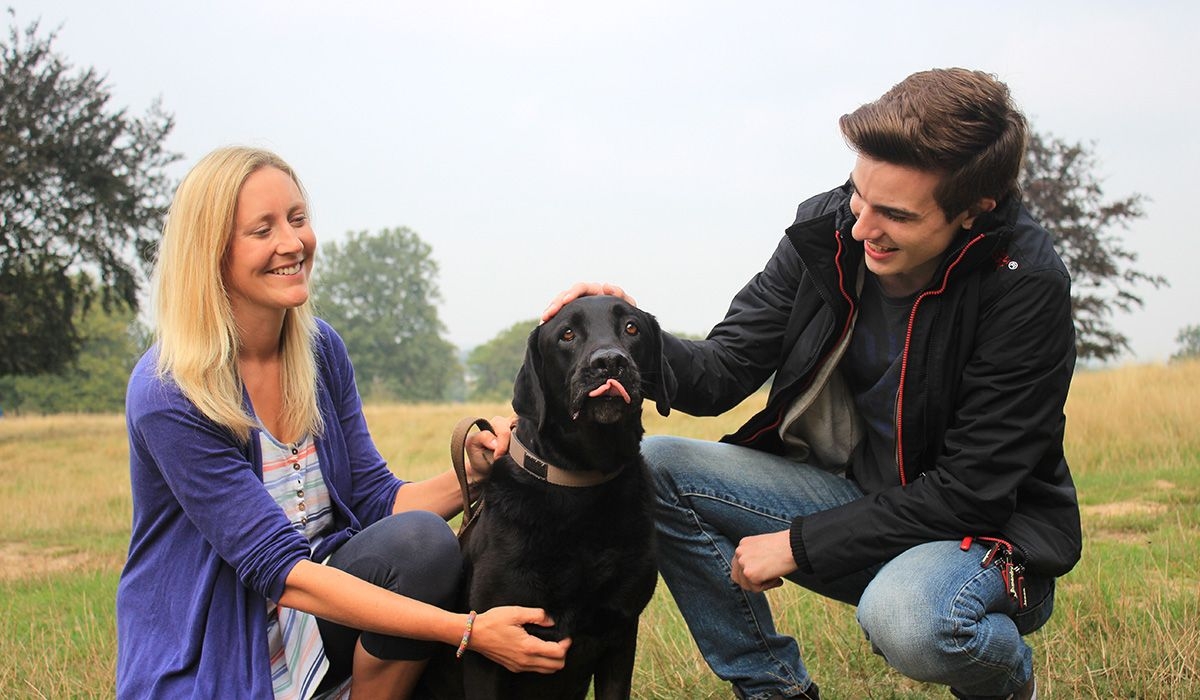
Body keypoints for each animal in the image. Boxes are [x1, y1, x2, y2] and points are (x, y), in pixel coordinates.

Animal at [422, 295, 676, 700]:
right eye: (567, 334)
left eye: (632, 328)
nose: (609, 362)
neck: (581, 486)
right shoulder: (488, 647)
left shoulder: (621, 633)